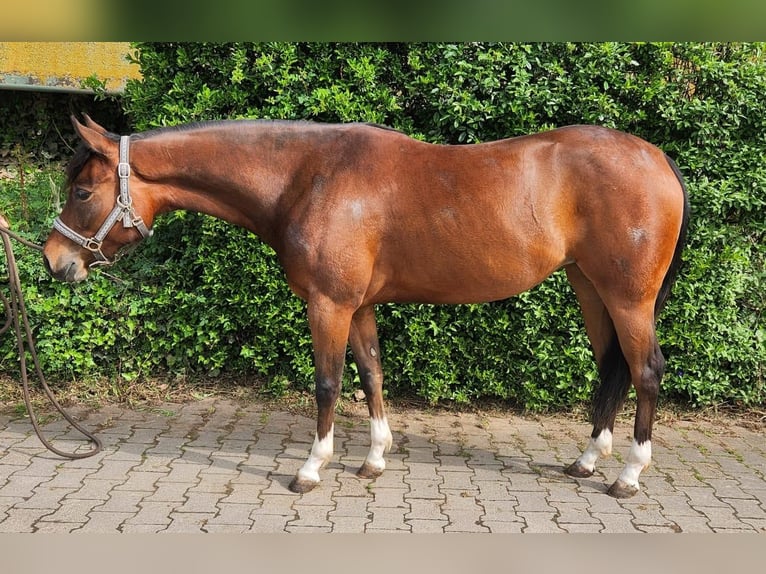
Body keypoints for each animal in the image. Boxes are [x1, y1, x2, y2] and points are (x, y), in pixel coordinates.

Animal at [43, 115, 689, 498]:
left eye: (83, 191)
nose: (54, 261)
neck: (307, 177)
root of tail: (657, 159)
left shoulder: (328, 304)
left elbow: (328, 383)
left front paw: (311, 468)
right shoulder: (359, 306)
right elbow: (373, 374)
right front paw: (374, 459)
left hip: (628, 297)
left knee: (646, 370)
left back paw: (628, 475)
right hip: (590, 288)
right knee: (611, 368)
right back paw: (588, 460)